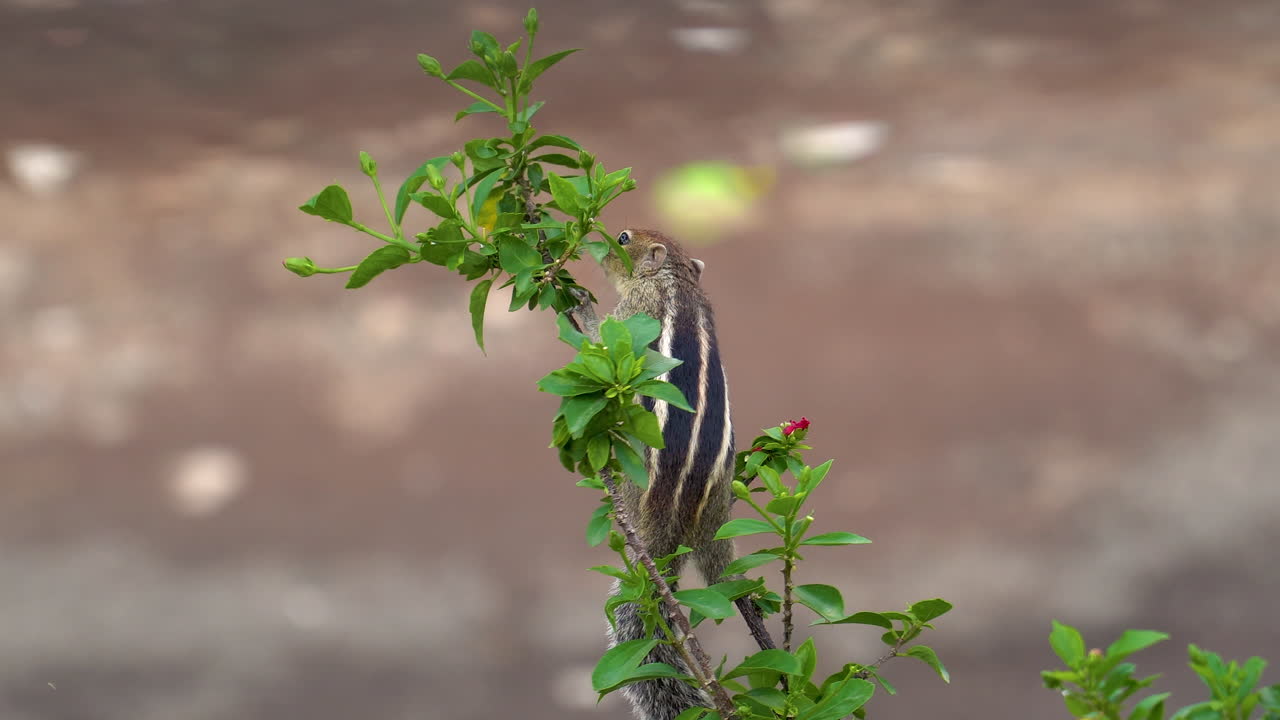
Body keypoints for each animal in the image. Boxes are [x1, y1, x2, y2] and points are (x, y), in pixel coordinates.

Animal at [601, 228, 774, 720]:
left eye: (623, 237)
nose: (600, 251)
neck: (675, 276)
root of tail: (675, 518)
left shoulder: (636, 305)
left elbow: (607, 333)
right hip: (718, 520)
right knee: (720, 569)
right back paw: (746, 597)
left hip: (634, 476)